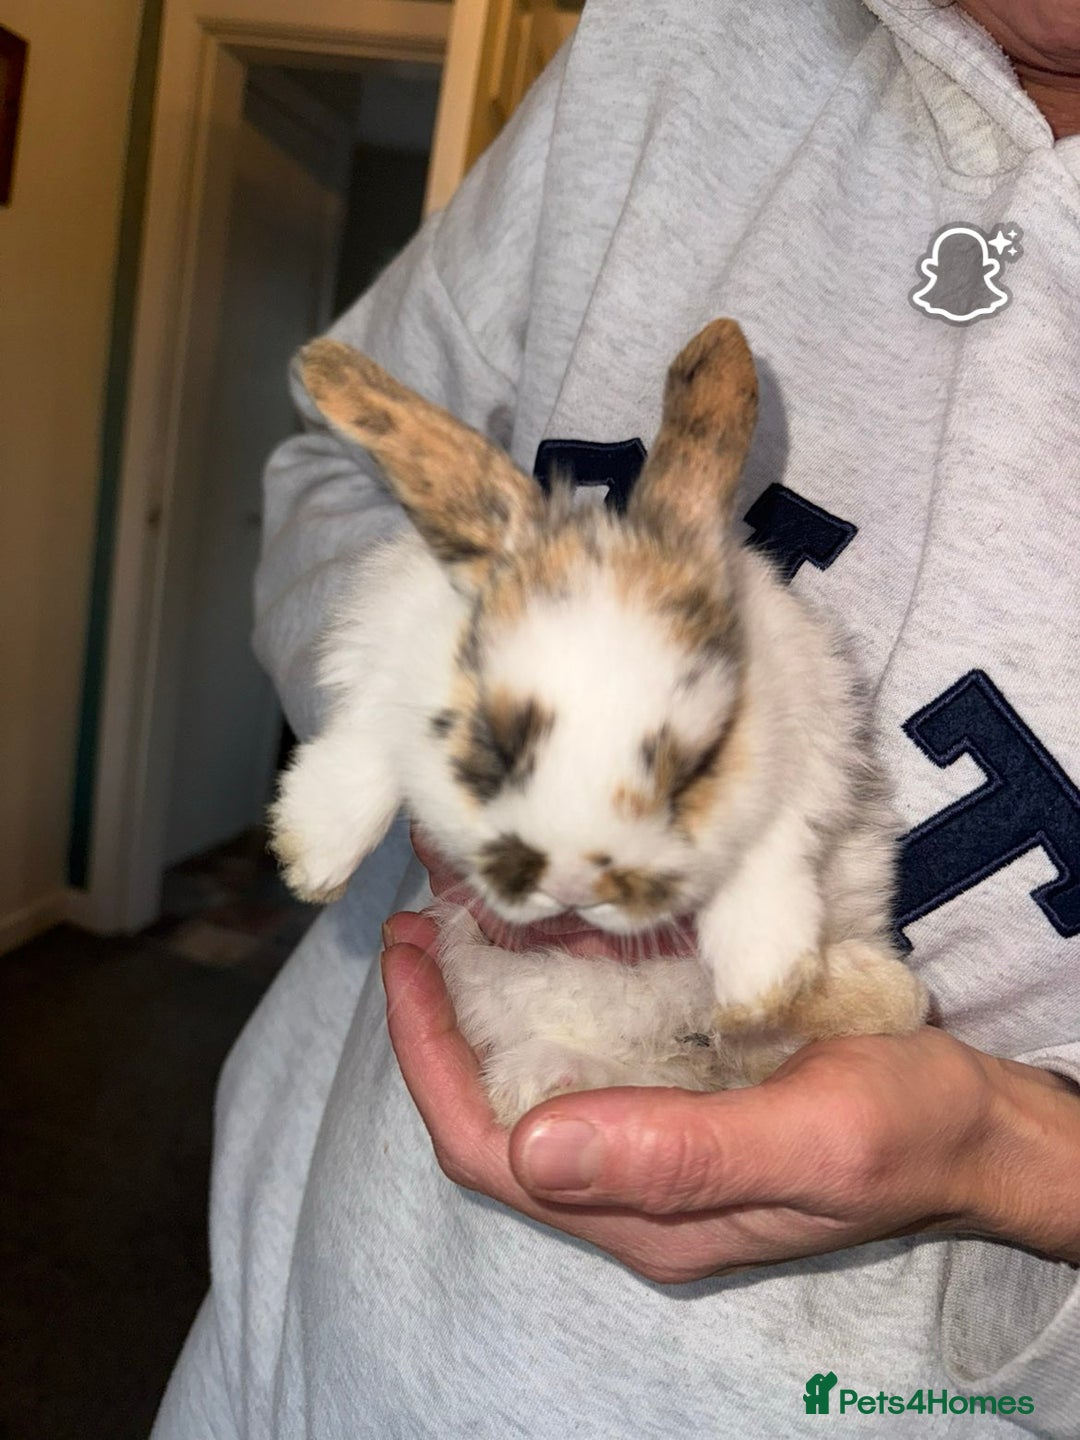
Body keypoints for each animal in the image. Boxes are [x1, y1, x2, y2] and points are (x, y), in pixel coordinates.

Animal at [269, 318, 929, 1125]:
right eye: (493, 745)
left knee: (867, 1013)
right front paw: (315, 857)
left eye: (690, 764)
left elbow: (773, 845)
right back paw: (539, 1081)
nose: (577, 882)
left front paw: (762, 970)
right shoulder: (384, 641)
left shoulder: (810, 736)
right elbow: (365, 743)